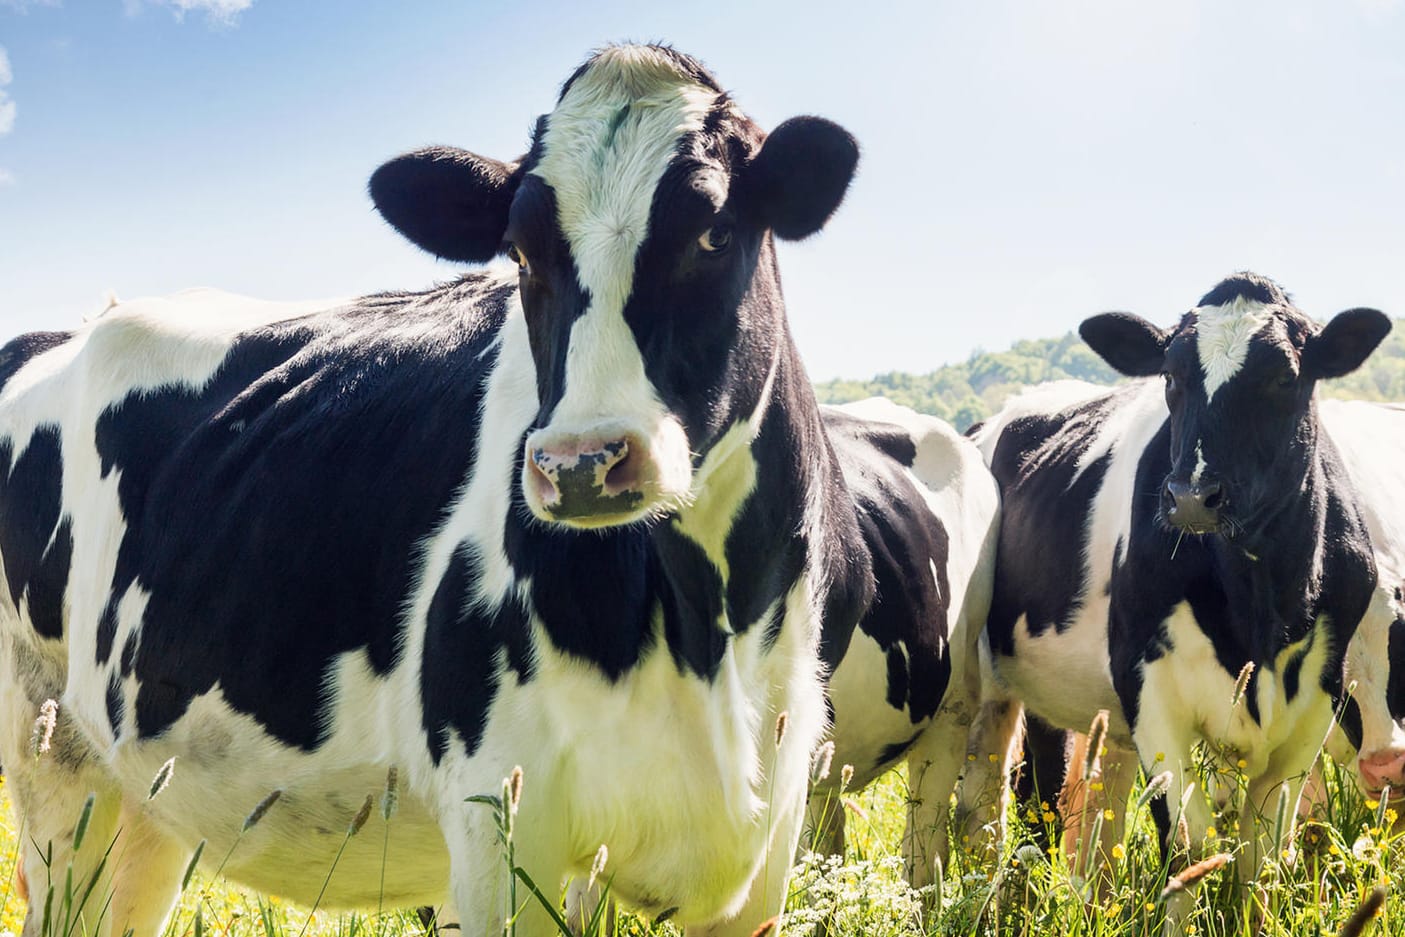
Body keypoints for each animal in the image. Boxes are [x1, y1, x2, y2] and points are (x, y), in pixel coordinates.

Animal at [0, 43, 989, 937]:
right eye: (518, 251)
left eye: (713, 232)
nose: (583, 460)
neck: (710, 628)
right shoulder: (503, 825)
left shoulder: (766, 840)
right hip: (52, 756)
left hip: (146, 796)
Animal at [966, 271, 1393, 910]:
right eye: (1171, 376)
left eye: (1284, 377)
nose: (1191, 496)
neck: (1258, 608)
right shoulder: (1149, 690)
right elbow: (1190, 848)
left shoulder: (1315, 703)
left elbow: (1263, 859)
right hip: (997, 689)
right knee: (1007, 799)